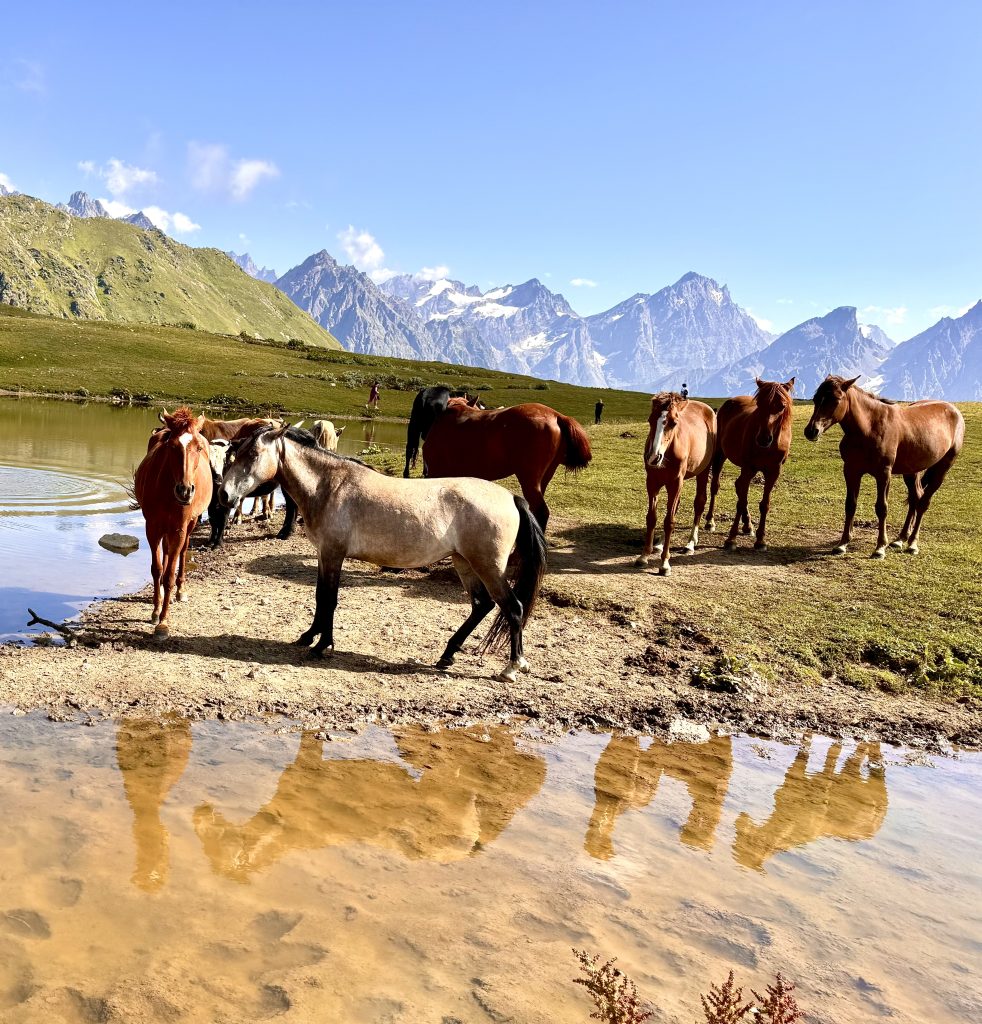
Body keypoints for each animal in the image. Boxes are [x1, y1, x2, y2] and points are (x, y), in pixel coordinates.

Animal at [133, 407, 213, 635]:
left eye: (198, 447)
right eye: (172, 446)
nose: (184, 490)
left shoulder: (179, 528)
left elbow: (169, 573)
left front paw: (163, 621)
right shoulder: (152, 527)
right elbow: (157, 569)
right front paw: (155, 610)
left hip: (190, 524)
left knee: (183, 551)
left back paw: (181, 590)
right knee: (168, 552)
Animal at [219, 424, 547, 682]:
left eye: (253, 455)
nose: (224, 495)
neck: (329, 486)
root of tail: (512, 497)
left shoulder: (334, 554)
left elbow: (330, 599)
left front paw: (322, 645)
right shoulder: (324, 555)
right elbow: (319, 596)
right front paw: (308, 637)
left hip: (488, 566)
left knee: (512, 608)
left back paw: (512, 667)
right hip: (464, 562)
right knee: (482, 605)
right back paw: (447, 654)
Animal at [635, 393, 715, 576]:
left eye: (674, 423)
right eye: (650, 419)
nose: (654, 457)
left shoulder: (675, 483)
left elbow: (669, 522)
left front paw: (665, 563)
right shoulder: (652, 482)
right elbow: (652, 518)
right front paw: (644, 556)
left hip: (703, 471)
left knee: (699, 503)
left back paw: (690, 543)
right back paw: (659, 544)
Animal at [705, 378, 795, 552]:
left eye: (782, 406)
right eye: (759, 403)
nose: (764, 438)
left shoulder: (773, 472)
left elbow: (764, 504)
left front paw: (761, 540)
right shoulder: (748, 468)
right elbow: (741, 502)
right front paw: (731, 539)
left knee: (739, 486)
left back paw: (747, 525)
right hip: (720, 455)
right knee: (716, 487)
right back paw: (710, 522)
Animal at [804, 375, 965, 557]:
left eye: (836, 399)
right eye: (815, 398)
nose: (811, 431)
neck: (869, 428)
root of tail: (953, 410)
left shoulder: (883, 474)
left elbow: (882, 508)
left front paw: (880, 547)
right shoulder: (851, 471)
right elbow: (850, 505)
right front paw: (843, 543)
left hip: (942, 469)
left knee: (923, 503)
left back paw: (912, 543)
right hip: (911, 471)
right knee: (915, 498)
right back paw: (900, 539)